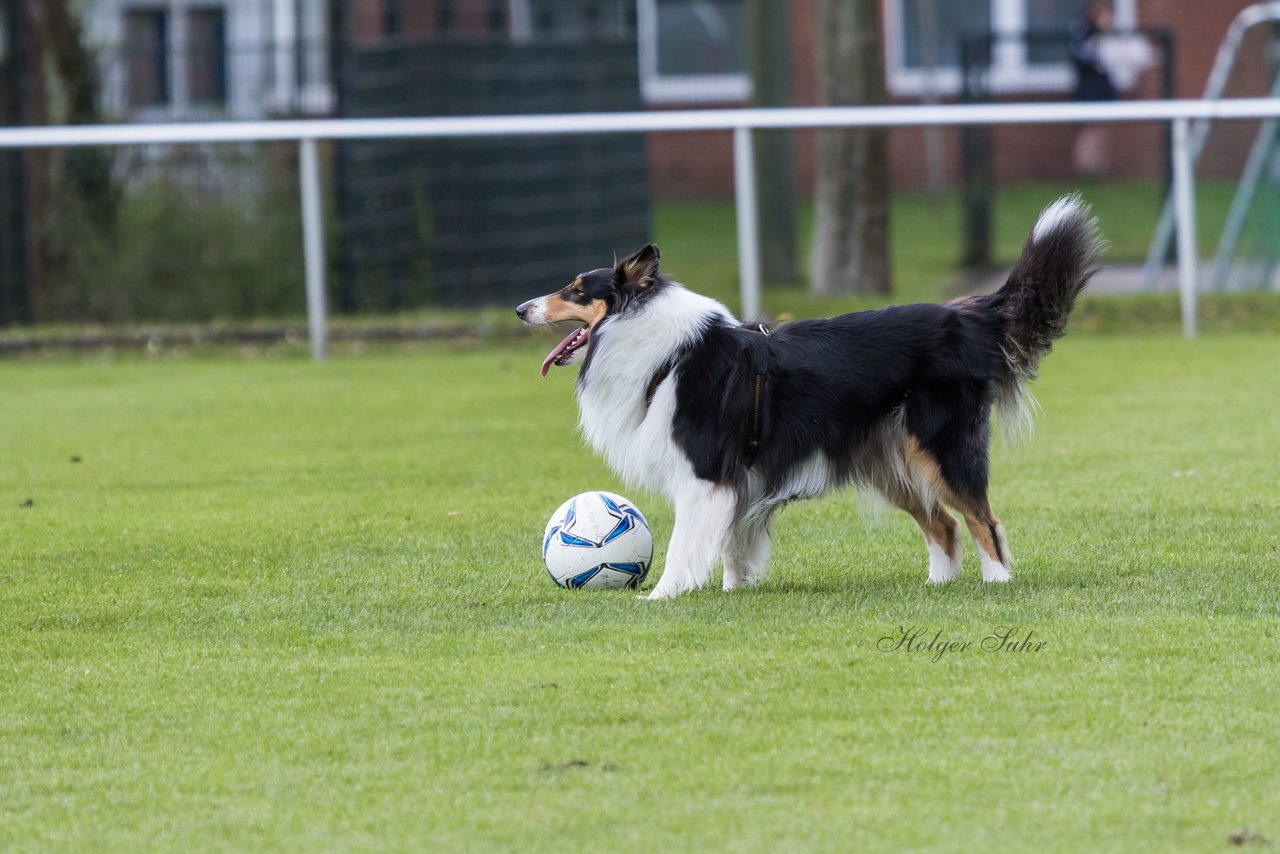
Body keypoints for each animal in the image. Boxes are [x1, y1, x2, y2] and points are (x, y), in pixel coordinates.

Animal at [517, 197, 1100, 601]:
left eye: (576, 289)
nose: (522, 309)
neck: (662, 351)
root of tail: (965, 317)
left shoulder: (703, 474)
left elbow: (685, 543)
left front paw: (663, 595)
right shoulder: (735, 481)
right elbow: (732, 542)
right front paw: (735, 588)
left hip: (941, 449)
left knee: (983, 520)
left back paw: (997, 582)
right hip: (892, 461)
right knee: (947, 523)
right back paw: (937, 586)